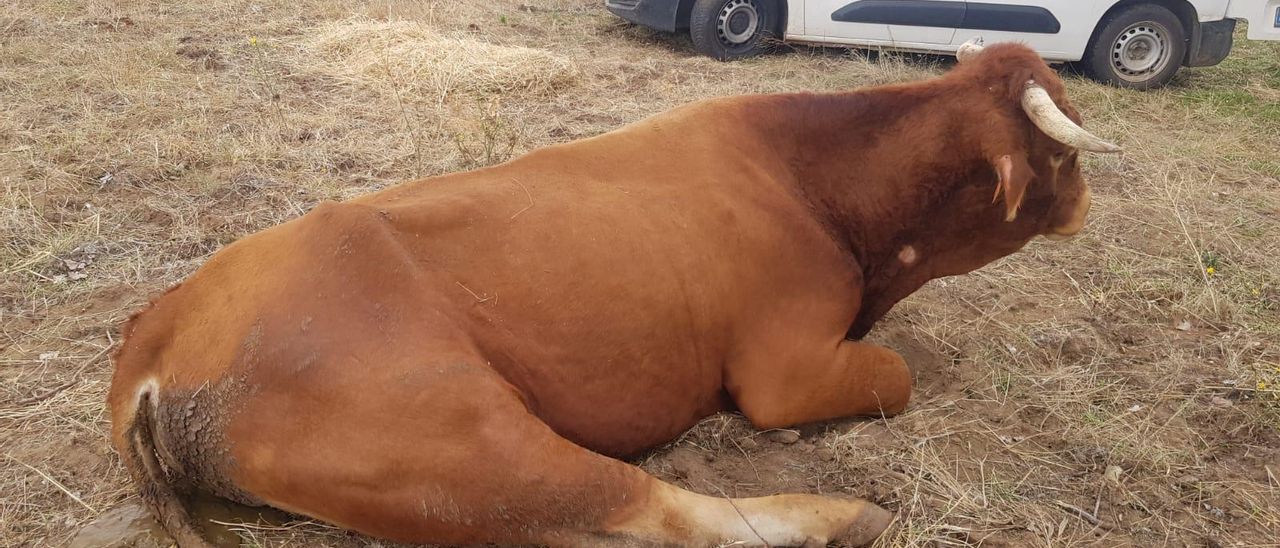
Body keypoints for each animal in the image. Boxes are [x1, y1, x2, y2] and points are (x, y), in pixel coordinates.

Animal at [110, 43, 1116, 548]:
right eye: (1061, 156)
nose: (1086, 204)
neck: (817, 182)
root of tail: (159, 337)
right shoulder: (782, 372)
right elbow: (899, 376)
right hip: (454, 433)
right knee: (638, 507)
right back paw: (844, 517)